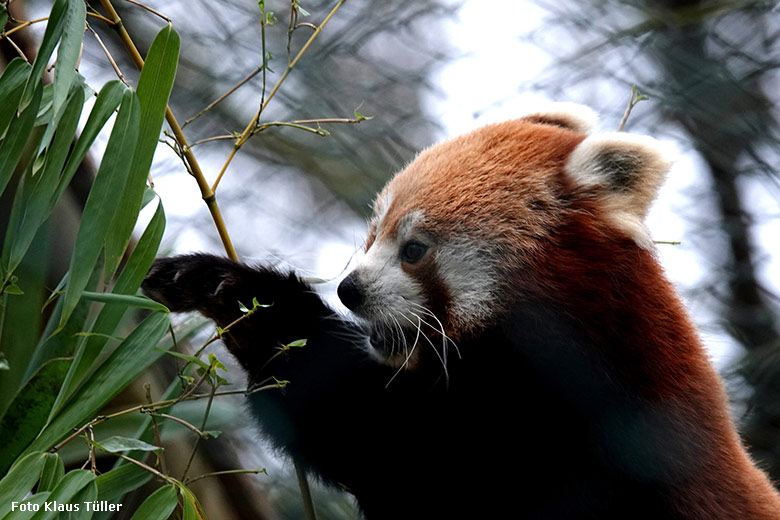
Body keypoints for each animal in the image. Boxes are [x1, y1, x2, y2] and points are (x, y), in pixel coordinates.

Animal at [142, 103, 780, 516]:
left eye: (414, 250)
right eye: (372, 233)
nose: (349, 290)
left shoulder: (576, 428)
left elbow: (381, 437)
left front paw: (266, 312)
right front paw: (220, 288)